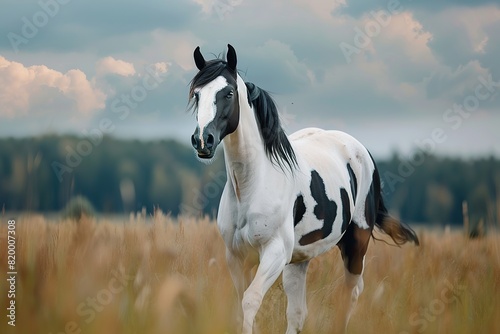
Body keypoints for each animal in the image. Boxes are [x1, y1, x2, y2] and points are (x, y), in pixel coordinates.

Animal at [187, 44, 418, 334]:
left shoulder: (275, 252)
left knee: (350, 294)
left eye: (228, 92)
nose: (202, 140)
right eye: (197, 94)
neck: (253, 185)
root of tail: (361, 151)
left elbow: (250, 300)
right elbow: (243, 305)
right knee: (298, 313)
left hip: (356, 243)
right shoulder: (236, 257)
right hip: (299, 261)